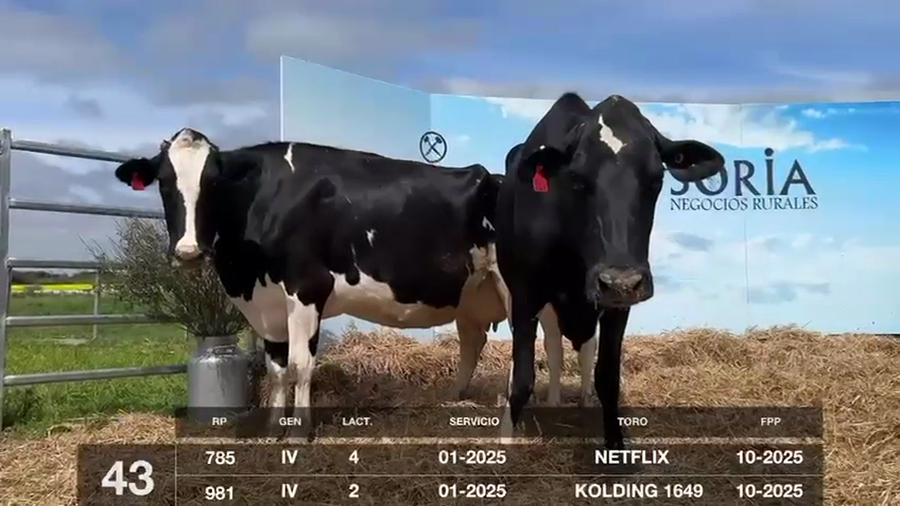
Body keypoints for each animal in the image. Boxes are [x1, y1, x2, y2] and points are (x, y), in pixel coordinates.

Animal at [110, 128, 590, 438]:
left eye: (213, 183)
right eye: (164, 184)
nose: (189, 251)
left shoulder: (306, 288)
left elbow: (301, 366)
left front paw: (298, 433)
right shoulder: (268, 304)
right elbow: (276, 369)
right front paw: (272, 427)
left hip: (521, 289)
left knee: (550, 349)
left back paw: (530, 421)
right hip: (481, 292)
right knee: (518, 342)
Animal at [495, 93, 725, 449]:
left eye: (657, 180)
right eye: (577, 180)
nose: (619, 281)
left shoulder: (617, 303)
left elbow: (607, 376)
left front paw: (615, 445)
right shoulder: (524, 294)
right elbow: (520, 378)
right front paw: (506, 441)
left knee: (577, 349)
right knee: (550, 347)